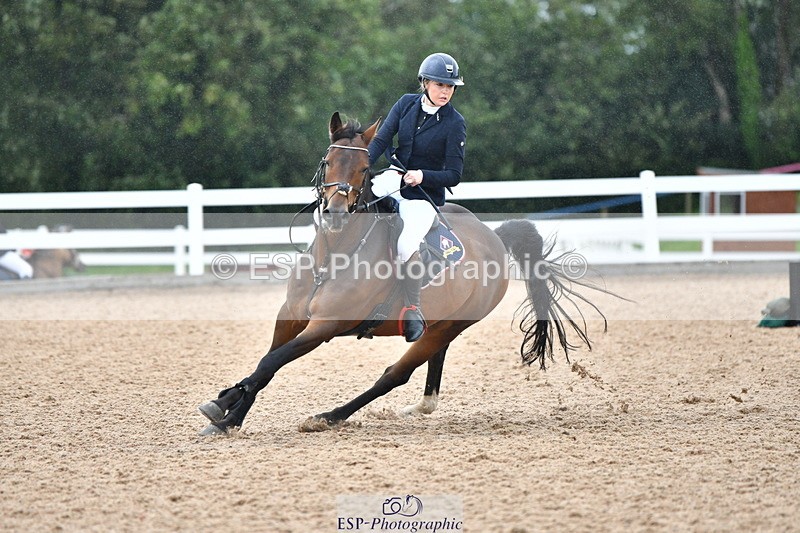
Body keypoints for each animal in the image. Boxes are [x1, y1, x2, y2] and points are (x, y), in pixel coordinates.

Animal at [198, 112, 608, 436]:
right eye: (328, 161)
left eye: (364, 169)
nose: (334, 214)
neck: (334, 256)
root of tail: (494, 235)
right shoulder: (290, 317)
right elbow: (265, 364)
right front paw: (229, 411)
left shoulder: (325, 325)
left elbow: (272, 362)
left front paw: (224, 410)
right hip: (442, 325)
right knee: (428, 368)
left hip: (450, 326)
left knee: (395, 374)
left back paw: (329, 417)